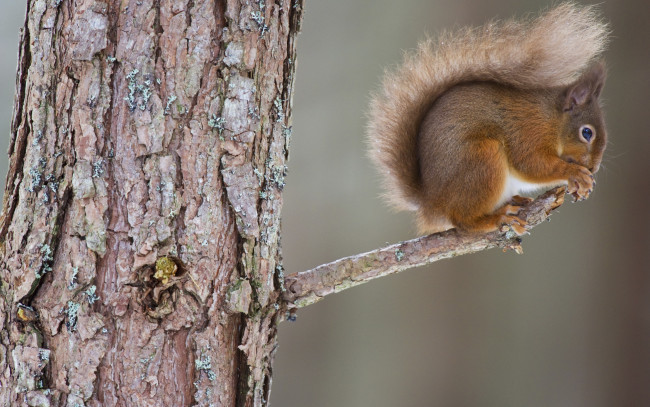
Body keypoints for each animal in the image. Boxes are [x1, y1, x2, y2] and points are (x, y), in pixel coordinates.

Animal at [370, 3, 608, 234]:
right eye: (587, 133)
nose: (593, 169)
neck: (552, 118)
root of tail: (432, 203)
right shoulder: (528, 131)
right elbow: (531, 164)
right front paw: (574, 174)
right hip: (482, 159)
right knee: (463, 222)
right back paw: (497, 218)